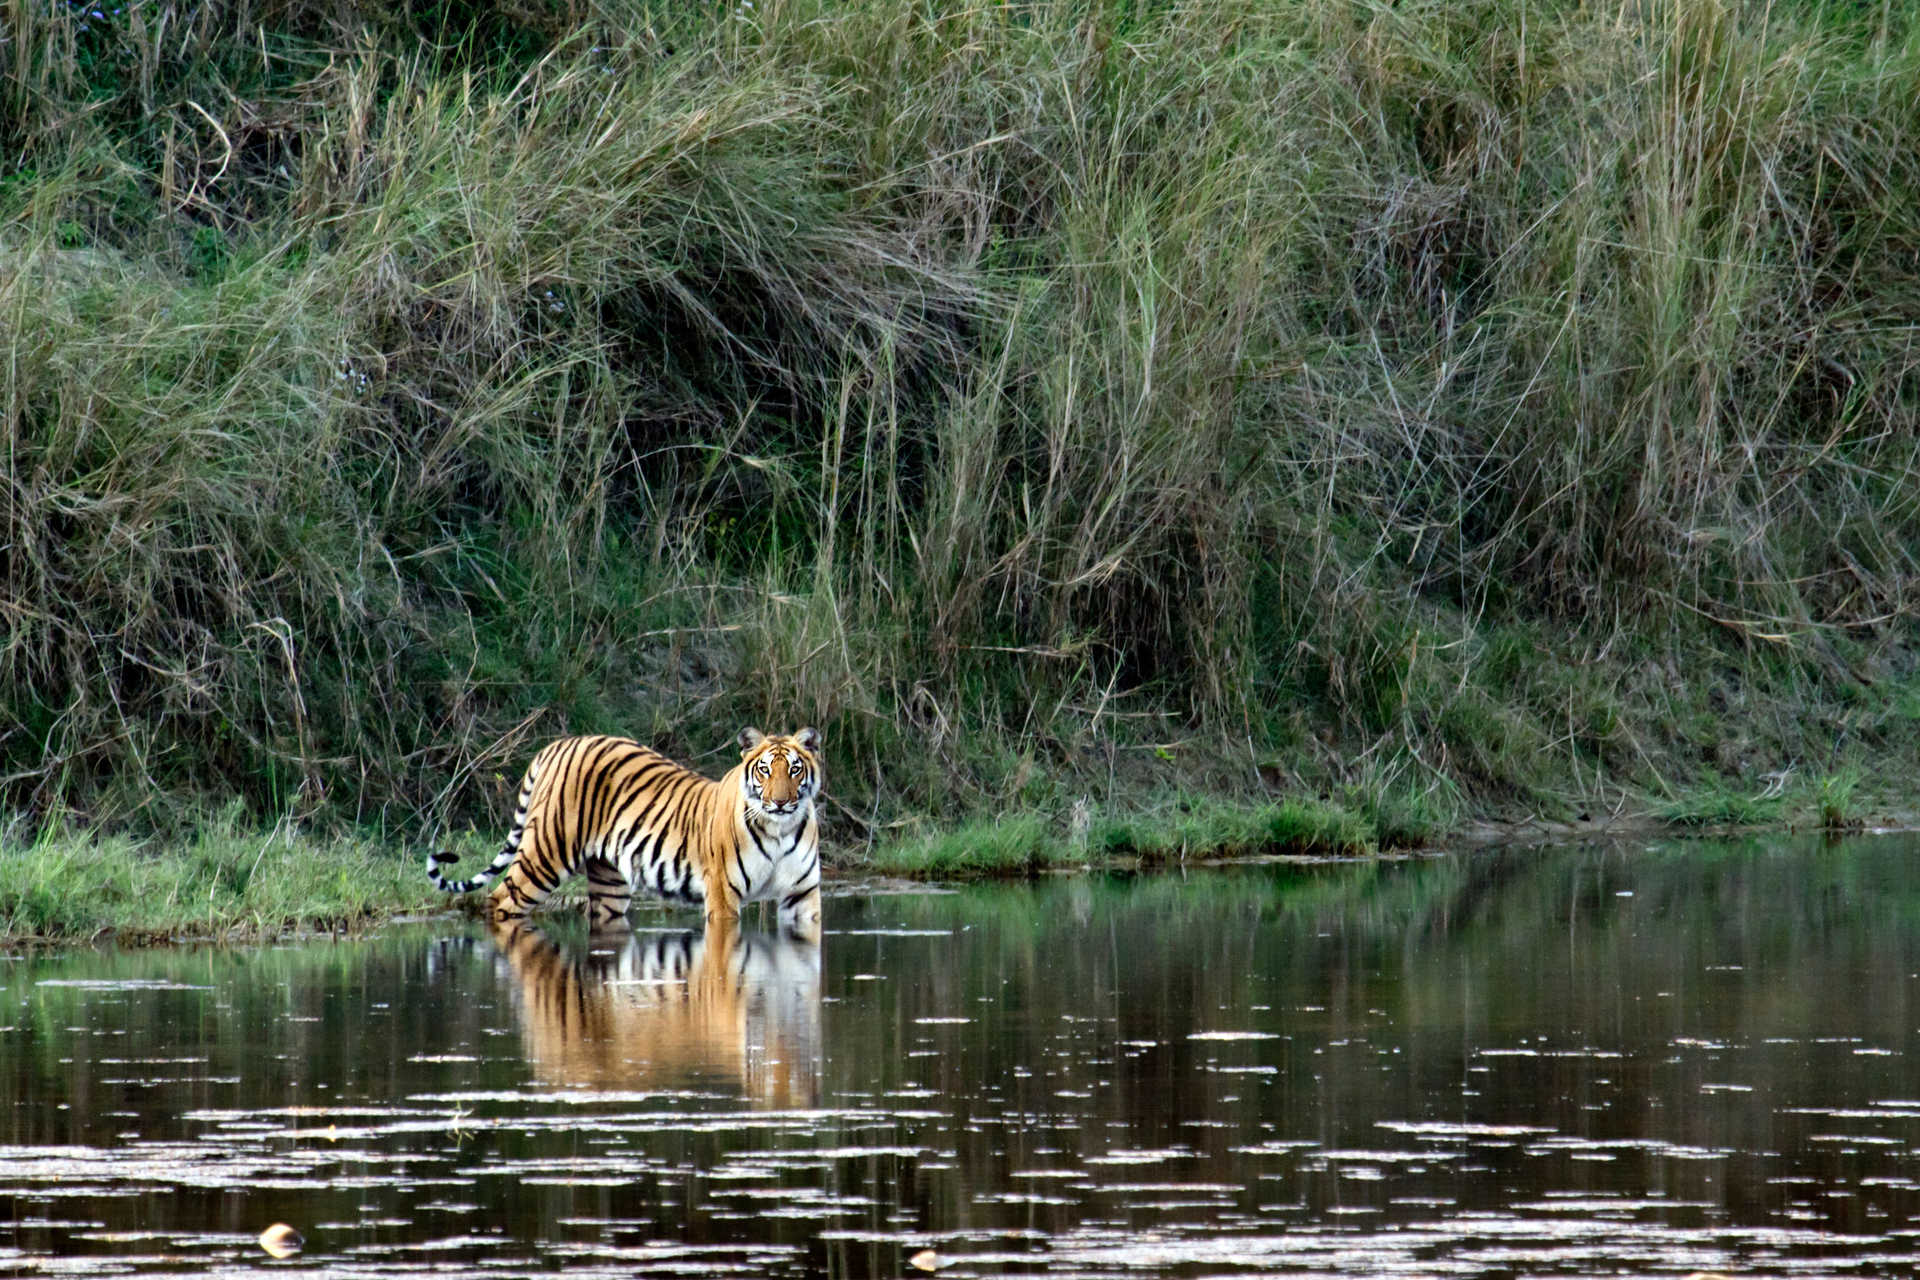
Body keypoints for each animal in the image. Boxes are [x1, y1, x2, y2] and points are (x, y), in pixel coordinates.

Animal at [424, 729, 821, 940]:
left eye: (795, 770)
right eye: (765, 770)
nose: (780, 802)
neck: (780, 829)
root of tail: (556, 746)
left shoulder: (802, 895)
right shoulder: (723, 895)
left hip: (609, 882)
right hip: (545, 856)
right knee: (499, 900)